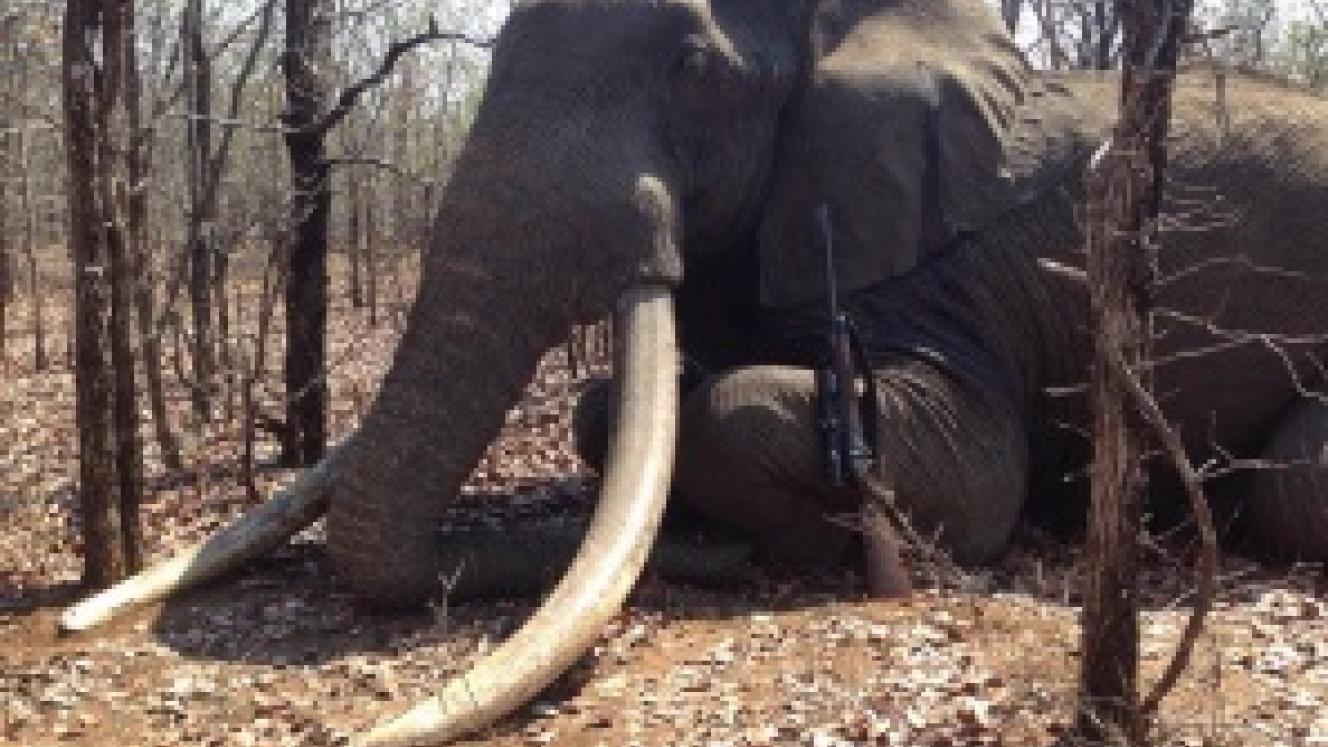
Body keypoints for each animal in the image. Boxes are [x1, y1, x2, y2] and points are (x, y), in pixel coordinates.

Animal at [61, 0, 1328, 745]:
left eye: (687, 67)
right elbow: (607, 406)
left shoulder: (934, 254)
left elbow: (971, 479)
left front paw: (758, 540)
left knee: (1289, 483)